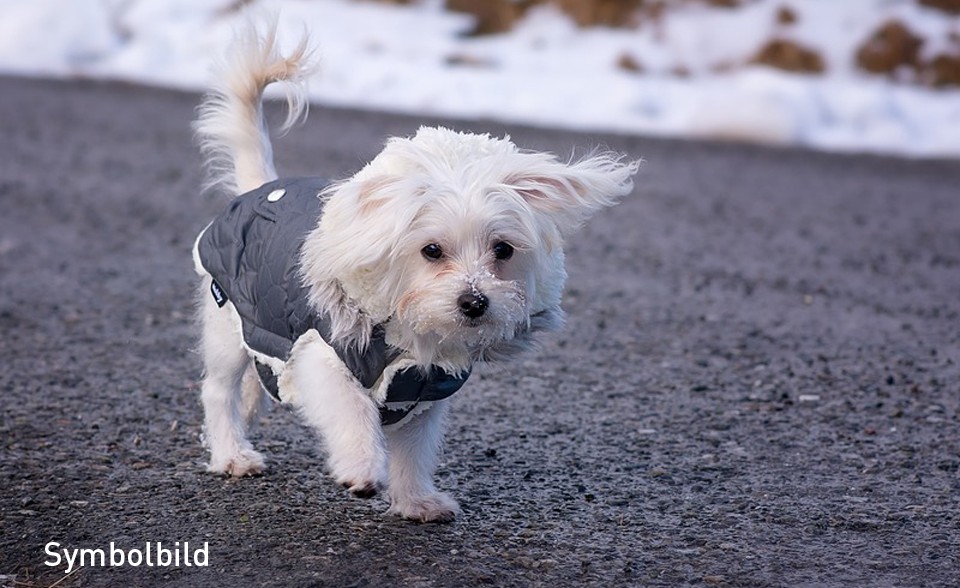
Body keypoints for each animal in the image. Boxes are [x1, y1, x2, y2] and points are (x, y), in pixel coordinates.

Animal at [189, 20, 636, 520]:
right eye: (432, 250)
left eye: (502, 250)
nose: (474, 302)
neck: (411, 340)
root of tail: (258, 189)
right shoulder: (323, 357)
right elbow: (353, 411)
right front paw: (362, 467)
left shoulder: (425, 391)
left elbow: (414, 451)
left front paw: (415, 500)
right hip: (225, 322)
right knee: (218, 391)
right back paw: (231, 452)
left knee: (254, 378)